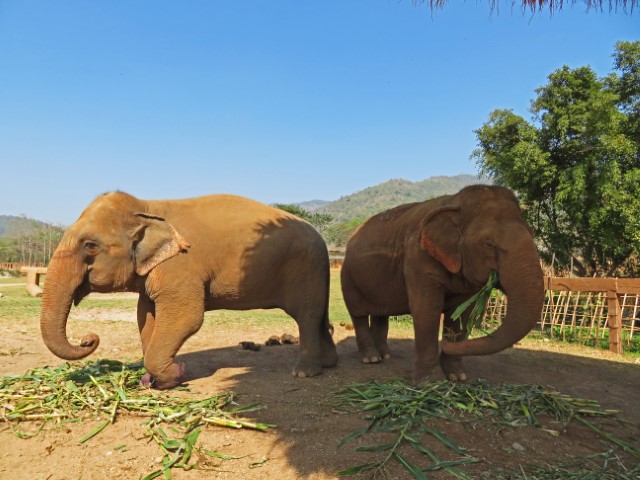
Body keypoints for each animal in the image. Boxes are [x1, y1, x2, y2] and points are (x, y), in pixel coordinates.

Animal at [38, 189, 340, 388]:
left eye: (89, 245)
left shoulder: (181, 266)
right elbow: (145, 316)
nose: (88, 339)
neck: (147, 207)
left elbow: (187, 317)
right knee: (319, 317)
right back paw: (328, 364)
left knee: (307, 316)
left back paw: (305, 373)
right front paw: (151, 380)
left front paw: (174, 376)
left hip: (306, 267)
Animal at [342, 184, 544, 382]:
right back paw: (371, 358)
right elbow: (427, 308)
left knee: (381, 314)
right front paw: (428, 382)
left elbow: (461, 314)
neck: (454, 202)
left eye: (532, 234)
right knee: (358, 314)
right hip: (348, 277)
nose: (445, 342)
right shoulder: (418, 258)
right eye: (488, 244)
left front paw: (457, 377)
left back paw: (385, 356)